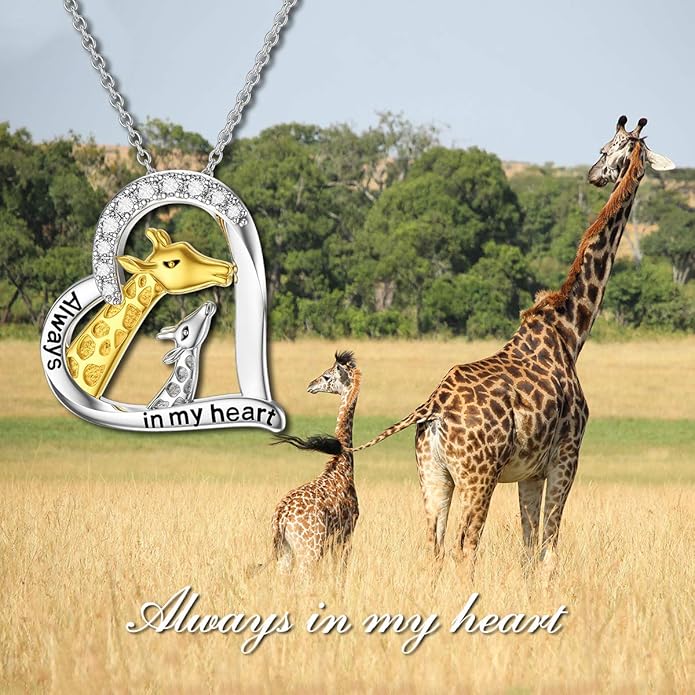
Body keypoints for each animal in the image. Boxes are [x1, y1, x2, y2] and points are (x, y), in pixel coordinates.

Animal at [270, 351, 361, 574]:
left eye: (327, 376)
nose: (311, 385)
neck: (342, 465)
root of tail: (281, 517)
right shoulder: (346, 533)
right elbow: (340, 572)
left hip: (285, 552)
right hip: (310, 550)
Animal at [318, 116, 674, 571]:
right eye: (608, 148)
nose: (595, 175)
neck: (570, 332)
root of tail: (431, 406)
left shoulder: (530, 472)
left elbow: (528, 548)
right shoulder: (567, 455)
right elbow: (548, 548)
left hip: (433, 475)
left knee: (434, 547)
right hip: (479, 475)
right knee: (465, 546)